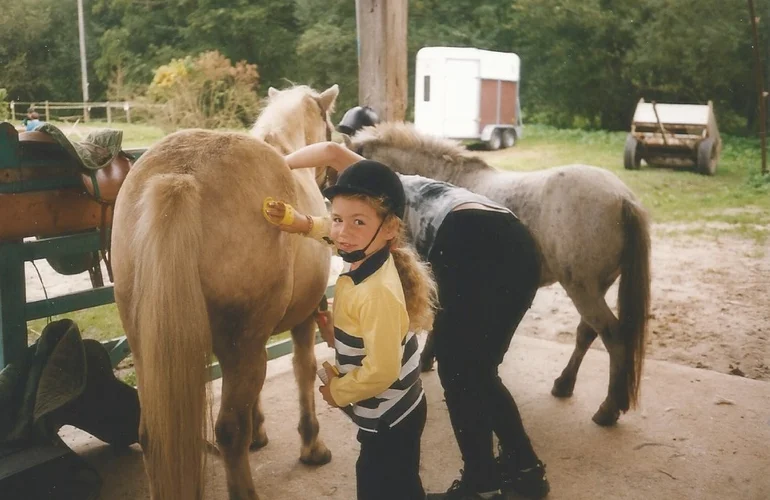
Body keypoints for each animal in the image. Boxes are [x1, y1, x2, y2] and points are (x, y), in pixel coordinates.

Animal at [110, 84, 336, 498]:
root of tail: (183, 176)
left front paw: (260, 433)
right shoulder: (303, 319)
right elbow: (305, 370)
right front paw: (312, 446)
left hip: (147, 346)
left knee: (152, 435)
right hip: (241, 346)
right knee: (228, 431)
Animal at [342, 122, 648, 426]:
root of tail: (623, 198)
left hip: (582, 289)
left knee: (613, 336)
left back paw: (608, 409)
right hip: (596, 288)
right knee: (587, 332)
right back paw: (565, 385)